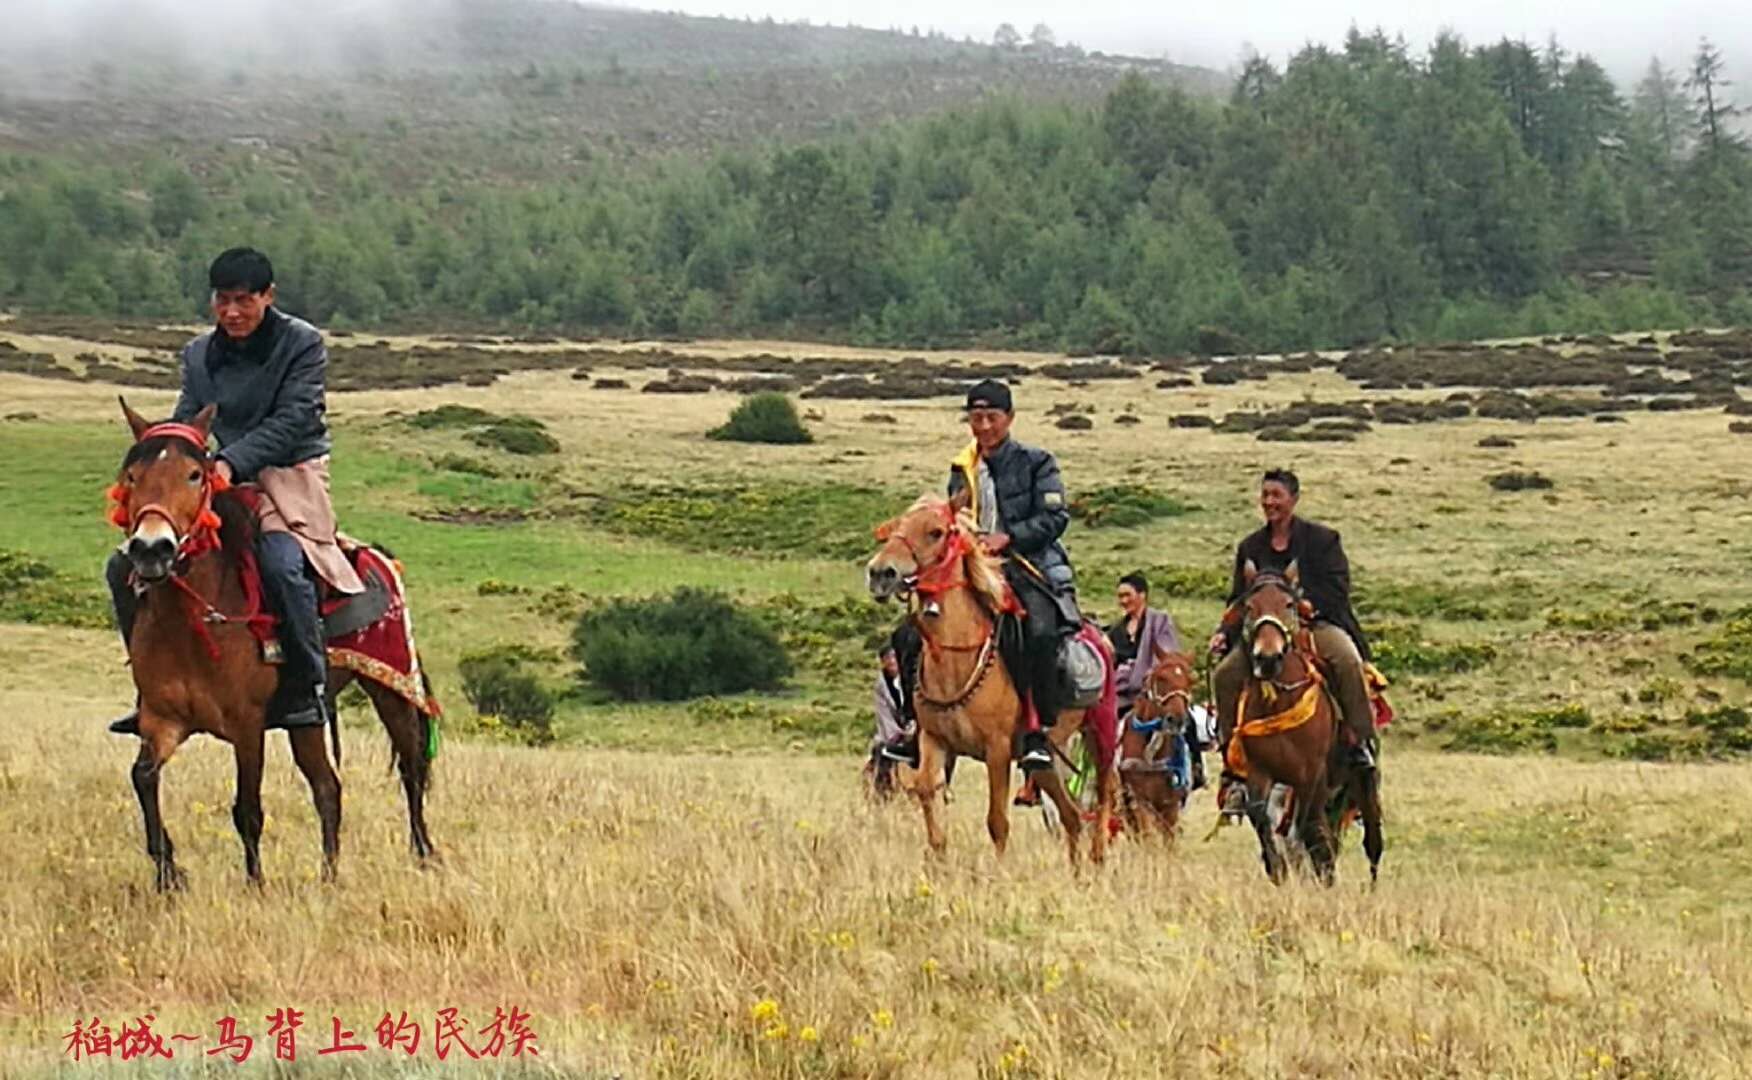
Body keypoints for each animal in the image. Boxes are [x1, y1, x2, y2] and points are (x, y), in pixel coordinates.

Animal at [108, 399, 438, 891]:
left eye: (195, 474)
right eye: (132, 475)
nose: (151, 549)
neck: (190, 623)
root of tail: (379, 557)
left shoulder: (247, 727)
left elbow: (247, 809)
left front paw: (255, 886)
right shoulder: (162, 721)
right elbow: (142, 778)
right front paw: (169, 874)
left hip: (391, 688)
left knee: (411, 769)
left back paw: (422, 853)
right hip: (308, 721)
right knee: (328, 788)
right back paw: (328, 877)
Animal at [865, 492, 1118, 866]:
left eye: (936, 532)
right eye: (897, 526)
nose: (881, 572)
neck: (957, 657)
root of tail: (1100, 636)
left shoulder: (996, 749)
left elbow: (997, 821)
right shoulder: (933, 741)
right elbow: (928, 795)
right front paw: (939, 863)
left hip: (1100, 734)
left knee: (1103, 796)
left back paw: (1098, 858)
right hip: (1045, 759)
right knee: (1070, 816)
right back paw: (1076, 871)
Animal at [1118, 645, 1196, 839]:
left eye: (1191, 681)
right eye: (1161, 677)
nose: (1176, 720)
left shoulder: (1170, 805)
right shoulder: (1140, 803)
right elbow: (1148, 838)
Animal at [1221, 561, 1383, 885]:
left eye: (1289, 604)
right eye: (1249, 606)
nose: (1268, 658)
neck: (1280, 699)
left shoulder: (1311, 775)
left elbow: (1308, 829)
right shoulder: (1261, 773)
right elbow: (1260, 815)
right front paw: (1277, 868)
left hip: (1354, 783)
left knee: (1365, 838)